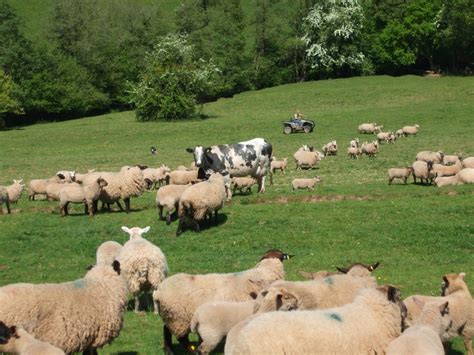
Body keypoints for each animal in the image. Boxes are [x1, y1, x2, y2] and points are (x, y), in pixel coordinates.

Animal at [154, 249, 290, 354]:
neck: (265, 273)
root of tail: (158, 292)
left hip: (171, 316)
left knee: (166, 330)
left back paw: (169, 351)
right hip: (179, 318)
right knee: (181, 337)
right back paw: (188, 351)